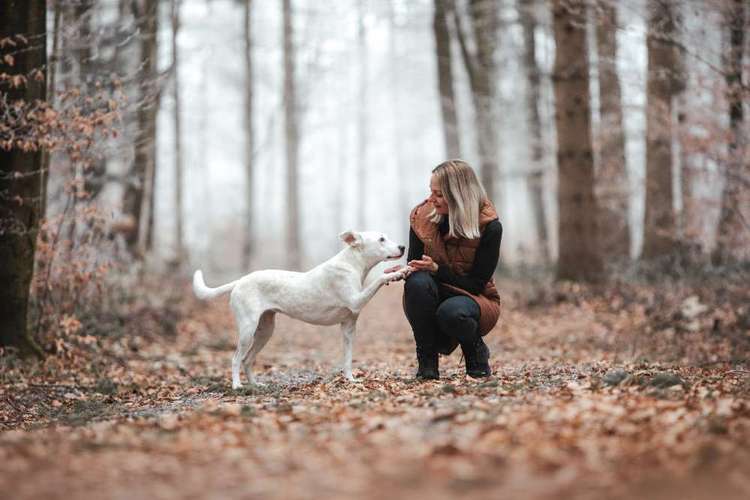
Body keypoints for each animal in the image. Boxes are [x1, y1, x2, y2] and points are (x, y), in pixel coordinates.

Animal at [191, 230, 408, 390]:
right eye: (381, 239)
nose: (403, 247)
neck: (353, 263)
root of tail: (240, 281)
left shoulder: (348, 327)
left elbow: (347, 359)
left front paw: (350, 380)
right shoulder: (356, 300)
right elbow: (380, 279)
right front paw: (399, 271)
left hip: (265, 331)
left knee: (247, 359)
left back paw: (256, 385)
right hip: (247, 330)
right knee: (236, 358)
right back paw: (237, 385)